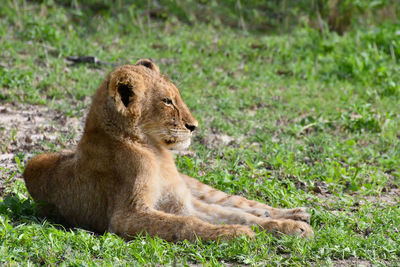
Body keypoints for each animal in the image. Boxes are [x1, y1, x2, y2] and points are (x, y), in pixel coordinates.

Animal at [23, 59, 314, 242]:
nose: (194, 126)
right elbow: (188, 224)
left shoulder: (181, 202)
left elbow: (235, 214)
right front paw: (234, 234)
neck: (154, 152)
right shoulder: (126, 216)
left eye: (176, 96)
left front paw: (290, 227)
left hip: (197, 188)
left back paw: (295, 213)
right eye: (167, 101)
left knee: (240, 202)